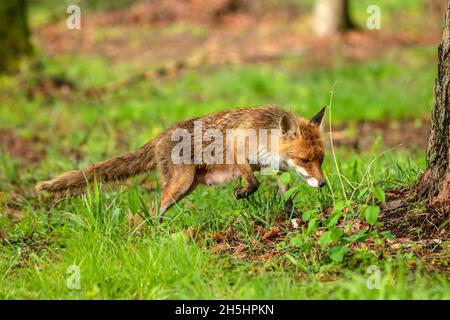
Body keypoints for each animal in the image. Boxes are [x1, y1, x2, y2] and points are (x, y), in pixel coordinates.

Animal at [34, 106, 324, 219]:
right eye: (305, 159)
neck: (266, 134)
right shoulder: (236, 148)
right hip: (180, 185)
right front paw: (241, 192)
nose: (323, 183)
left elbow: (286, 195)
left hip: (186, 187)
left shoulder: (273, 169)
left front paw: (293, 218)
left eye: (320, 159)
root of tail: (161, 135)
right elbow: (252, 183)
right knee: (154, 211)